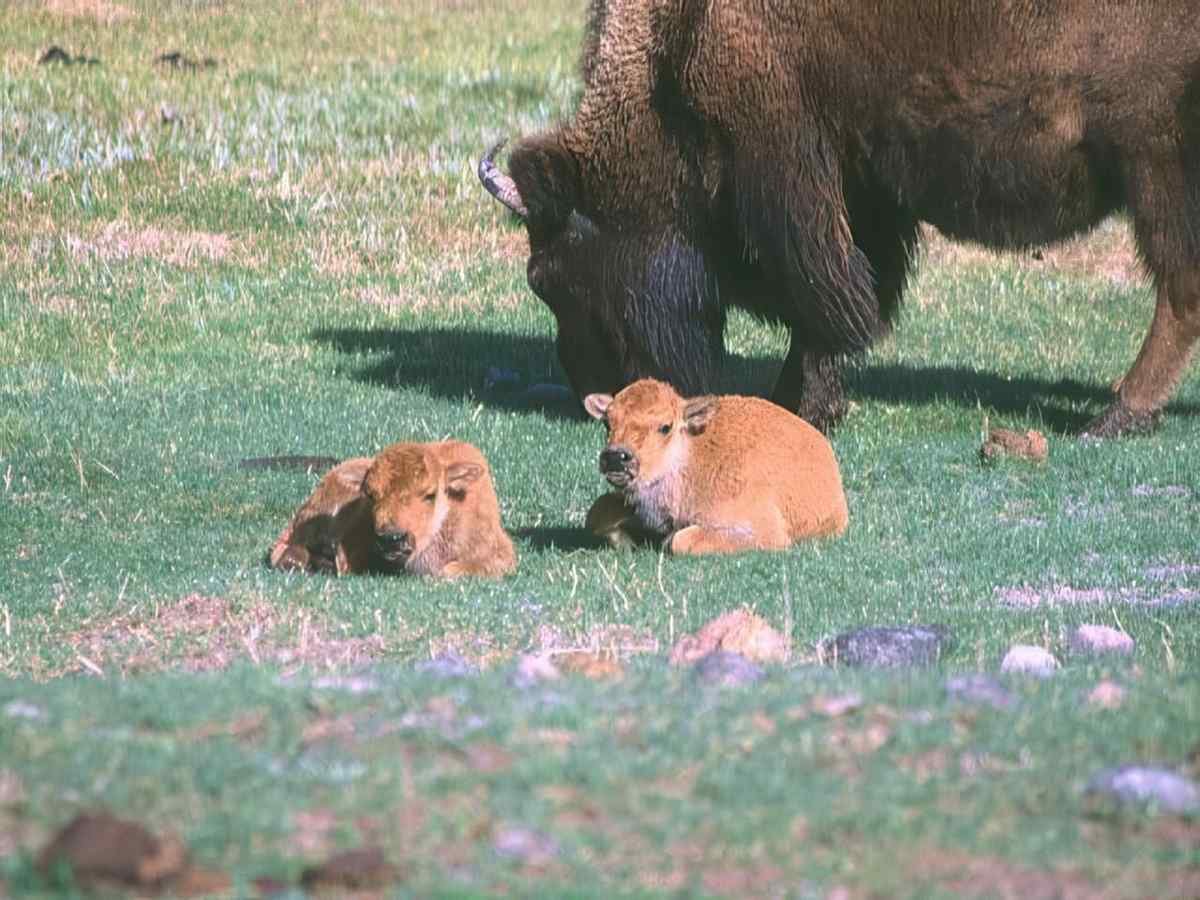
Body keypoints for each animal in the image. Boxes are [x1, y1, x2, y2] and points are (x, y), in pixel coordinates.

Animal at [479, 0, 1200, 437]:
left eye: (549, 278)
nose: (594, 399)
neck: (676, 40)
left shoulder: (786, 174)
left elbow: (824, 299)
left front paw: (807, 406)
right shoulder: (860, 187)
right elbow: (853, 288)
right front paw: (798, 400)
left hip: (1154, 162)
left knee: (1179, 289)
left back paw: (1116, 414)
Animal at [584, 378, 848, 554]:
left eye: (665, 426)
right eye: (607, 422)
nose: (616, 457)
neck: (692, 458)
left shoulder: (763, 530)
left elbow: (680, 541)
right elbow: (596, 513)